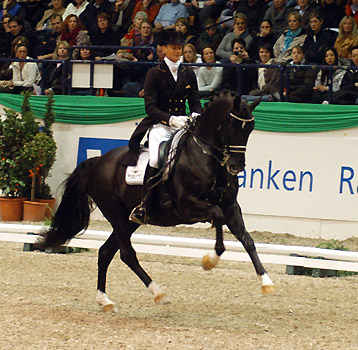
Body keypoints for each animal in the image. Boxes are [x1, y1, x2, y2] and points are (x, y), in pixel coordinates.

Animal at [35, 93, 274, 312]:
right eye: (232, 126)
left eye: (251, 128)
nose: (236, 167)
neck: (205, 155)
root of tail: (98, 161)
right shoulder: (188, 207)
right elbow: (217, 215)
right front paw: (210, 260)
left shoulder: (231, 206)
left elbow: (247, 240)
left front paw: (266, 283)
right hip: (115, 214)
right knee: (127, 254)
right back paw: (158, 293)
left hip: (129, 220)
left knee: (106, 252)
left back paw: (105, 300)